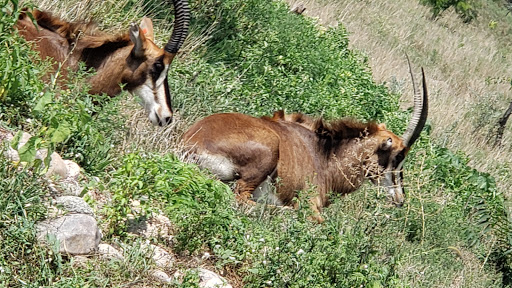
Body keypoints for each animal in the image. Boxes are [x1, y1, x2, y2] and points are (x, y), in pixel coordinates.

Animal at [184, 68, 428, 223]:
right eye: (398, 156)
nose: (400, 200)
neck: (325, 154)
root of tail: (190, 141)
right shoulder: (312, 205)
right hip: (266, 156)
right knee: (242, 200)